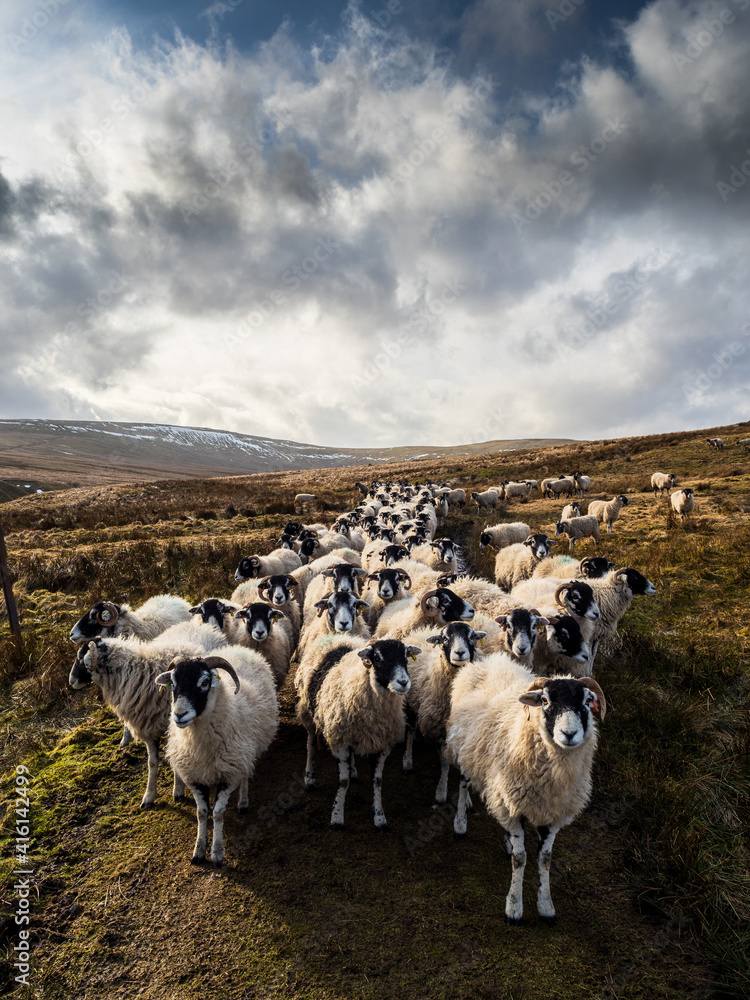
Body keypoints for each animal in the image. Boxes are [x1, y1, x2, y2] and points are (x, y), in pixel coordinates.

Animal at [156, 650, 278, 866]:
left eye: (204, 682)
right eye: (173, 682)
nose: (179, 715)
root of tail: (240, 648)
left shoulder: (230, 774)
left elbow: (218, 813)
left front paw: (217, 854)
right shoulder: (194, 776)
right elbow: (202, 813)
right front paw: (198, 850)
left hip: (245, 753)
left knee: (245, 773)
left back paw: (243, 802)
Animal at [295, 636, 418, 828]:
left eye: (406, 656)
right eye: (377, 658)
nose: (403, 683)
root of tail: (337, 637)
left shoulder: (382, 745)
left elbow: (377, 782)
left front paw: (379, 818)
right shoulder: (339, 741)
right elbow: (343, 782)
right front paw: (337, 817)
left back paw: (352, 770)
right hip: (308, 713)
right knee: (311, 745)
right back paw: (309, 777)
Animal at [400, 622, 487, 803]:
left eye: (471, 637)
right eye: (445, 639)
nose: (460, 653)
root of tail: (423, 630)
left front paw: (467, 800)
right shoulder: (439, 729)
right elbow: (445, 764)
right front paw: (441, 792)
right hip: (410, 702)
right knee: (410, 731)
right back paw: (408, 761)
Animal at [447, 655, 606, 924]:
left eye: (586, 701)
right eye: (545, 701)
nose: (569, 734)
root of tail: (489, 660)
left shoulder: (552, 813)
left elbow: (545, 859)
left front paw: (546, 906)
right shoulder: (513, 805)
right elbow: (520, 859)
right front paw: (514, 908)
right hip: (465, 750)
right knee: (463, 783)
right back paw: (460, 823)